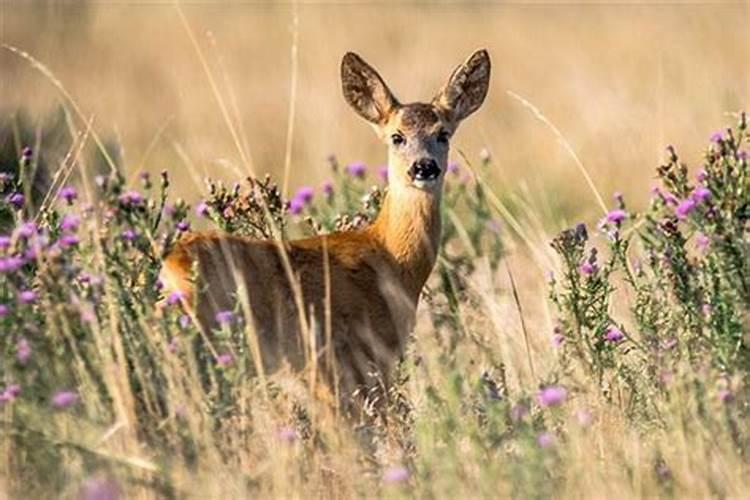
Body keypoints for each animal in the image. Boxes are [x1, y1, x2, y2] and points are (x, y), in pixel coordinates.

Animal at [162, 49, 494, 410]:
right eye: (397, 136)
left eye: (443, 134)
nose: (424, 167)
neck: (391, 258)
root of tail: (171, 266)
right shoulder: (352, 360)